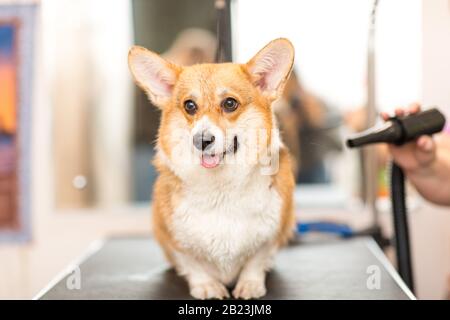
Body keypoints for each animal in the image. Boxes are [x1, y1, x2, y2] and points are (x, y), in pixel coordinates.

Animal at [127, 38, 296, 298]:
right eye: (189, 106)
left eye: (230, 103)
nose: (202, 140)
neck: (220, 189)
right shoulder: (175, 243)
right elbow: (193, 264)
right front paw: (207, 286)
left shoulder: (271, 238)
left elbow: (256, 261)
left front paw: (250, 284)